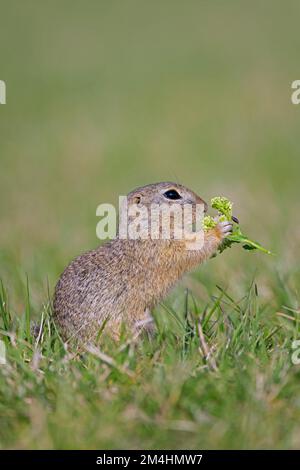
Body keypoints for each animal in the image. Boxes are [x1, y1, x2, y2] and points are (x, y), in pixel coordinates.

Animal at [53, 182, 232, 344]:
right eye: (172, 194)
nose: (205, 206)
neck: (147, 227)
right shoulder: (162, 247)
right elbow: (190, 248)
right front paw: (219, 227)